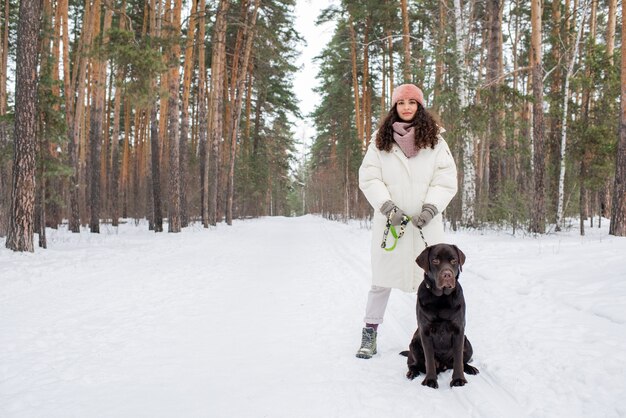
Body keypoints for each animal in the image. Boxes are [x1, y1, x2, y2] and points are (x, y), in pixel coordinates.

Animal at [402, 243, 476, 390]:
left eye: (453, 260)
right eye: (435, 260)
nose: (447, 274)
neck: (441, 299)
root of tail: (443, 366)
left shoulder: (459, 331)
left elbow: (458, 359)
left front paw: (458, 380)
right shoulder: (425, 332)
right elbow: (429, 360)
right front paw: (430, 380)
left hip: (467, 343)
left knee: (461, 361)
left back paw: (470, 368)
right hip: (414, 344)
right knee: (413, 363)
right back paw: (412, 372)